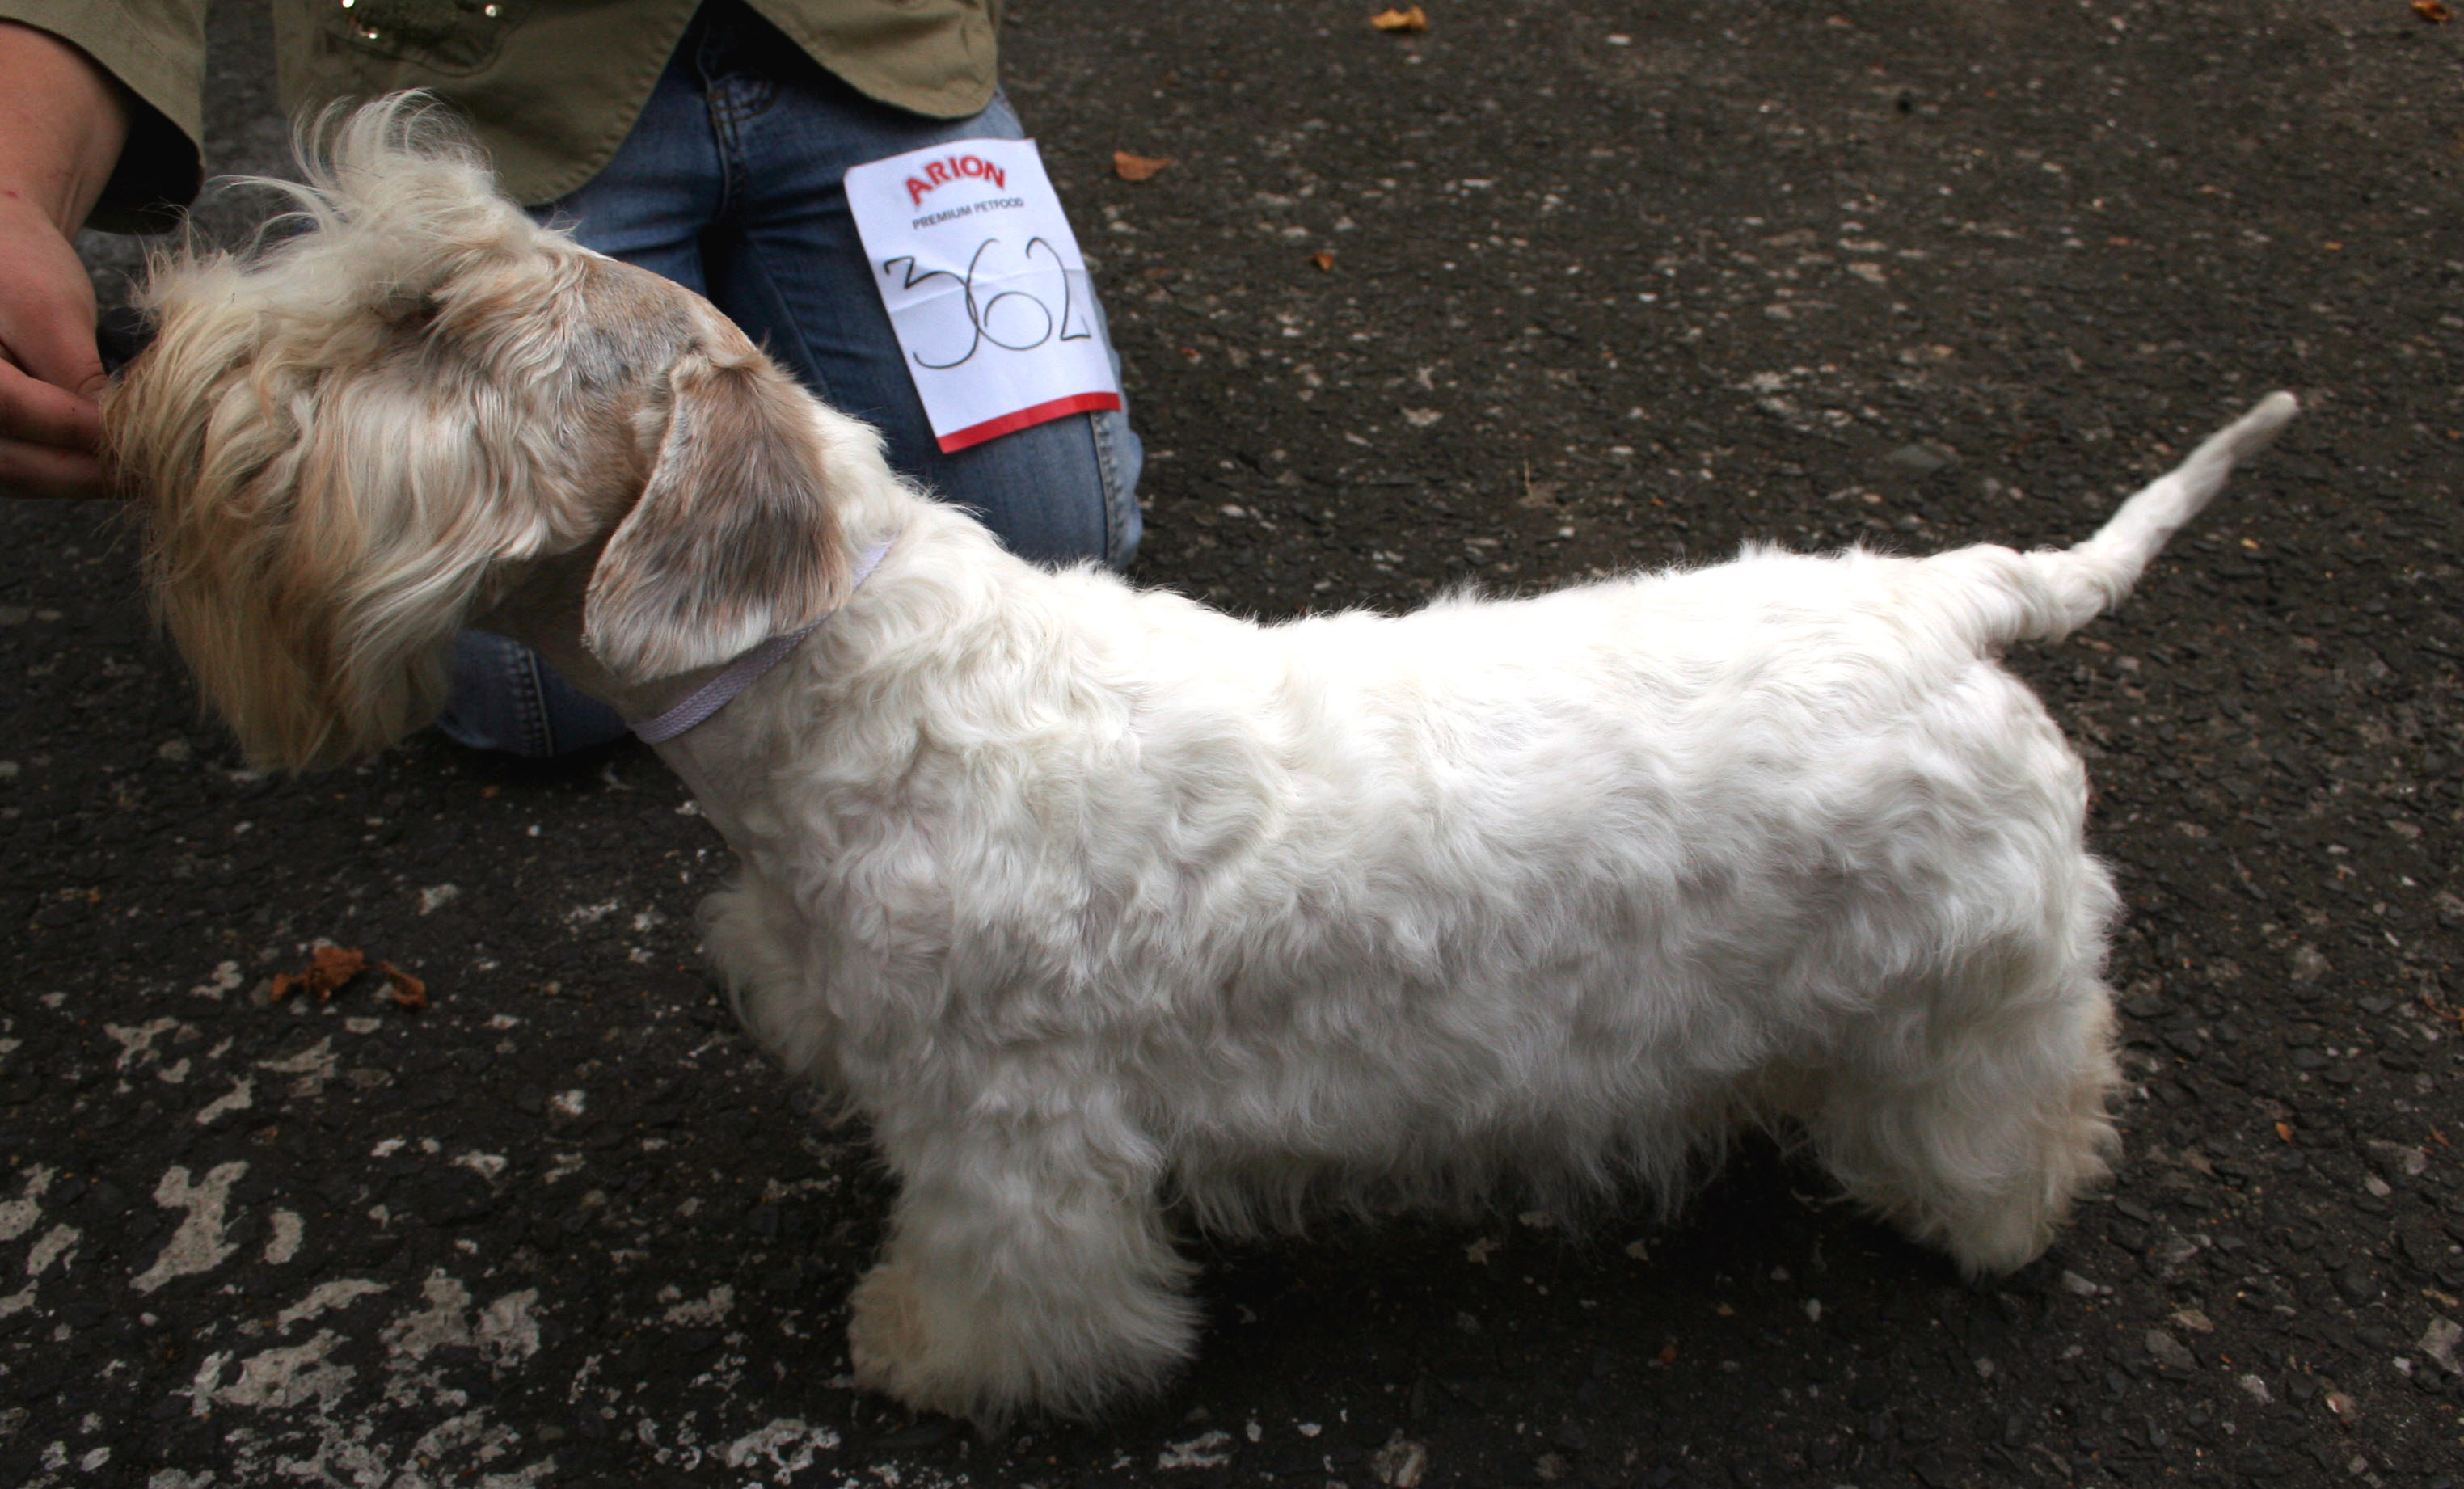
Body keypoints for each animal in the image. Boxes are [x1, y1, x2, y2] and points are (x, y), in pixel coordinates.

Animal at [106, 98, 2296, 1429]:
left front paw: (921, 1355)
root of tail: (1958, 596)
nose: (156, 352)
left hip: (1976, 994)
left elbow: (1011, 1283)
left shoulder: (1008, 1132)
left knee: (2026, 1108)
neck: (869, 704)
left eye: (418, 315)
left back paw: (1978, 1214)